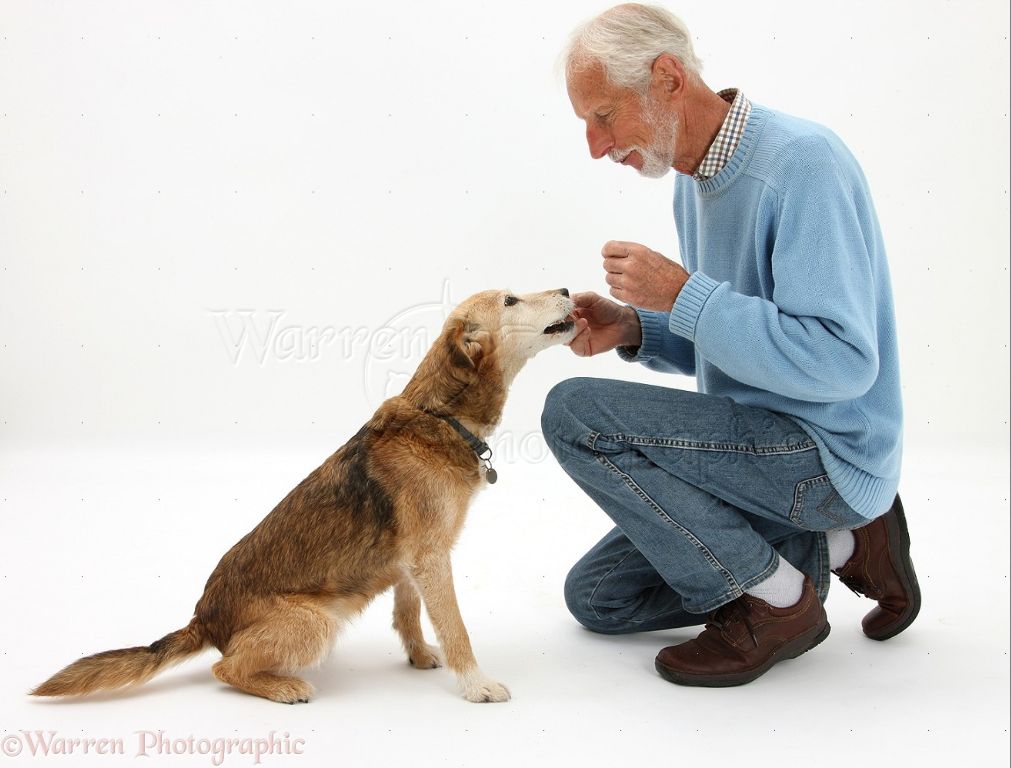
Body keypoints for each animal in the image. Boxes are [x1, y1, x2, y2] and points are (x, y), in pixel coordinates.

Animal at [31, 286, 578, 703]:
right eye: (510, 300)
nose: (568, 290)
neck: (440, 416)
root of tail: (204, 619)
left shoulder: (412, 562)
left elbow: (408, 613)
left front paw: (420, 656)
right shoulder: (431, 557)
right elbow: (456, 627)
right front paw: (475, 685)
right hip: (316, 622)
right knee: (225, 670)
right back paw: (283, 687)